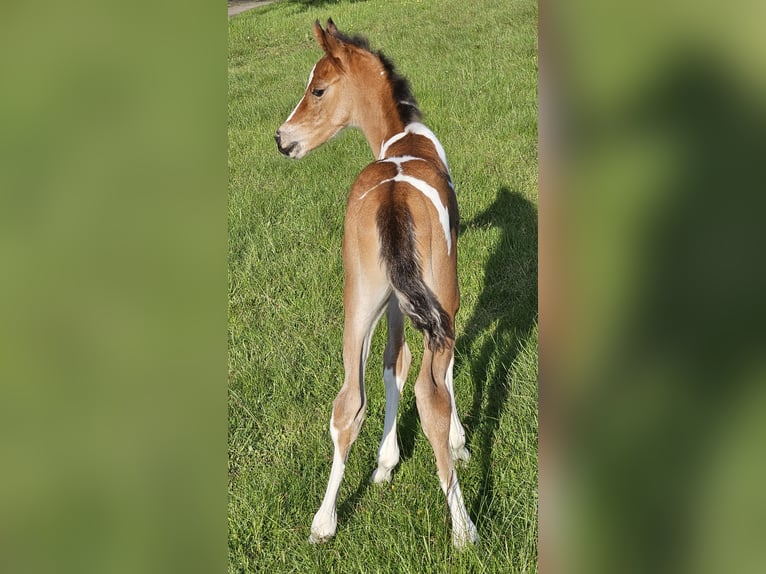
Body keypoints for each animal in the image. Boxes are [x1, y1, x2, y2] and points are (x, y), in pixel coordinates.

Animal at [275, 19, 478, 548]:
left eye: (318, 89)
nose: (282, 139)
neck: (402, 137)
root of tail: (392, 198)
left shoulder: (392, 303)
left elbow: (390, 367)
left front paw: (384, 465)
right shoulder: (443, 301)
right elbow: (435, 373)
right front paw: (458, 443)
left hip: (359, 303)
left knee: (348, 401)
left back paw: (323, 523)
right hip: (435, 294)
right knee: (430, 397)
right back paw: (463, 528)